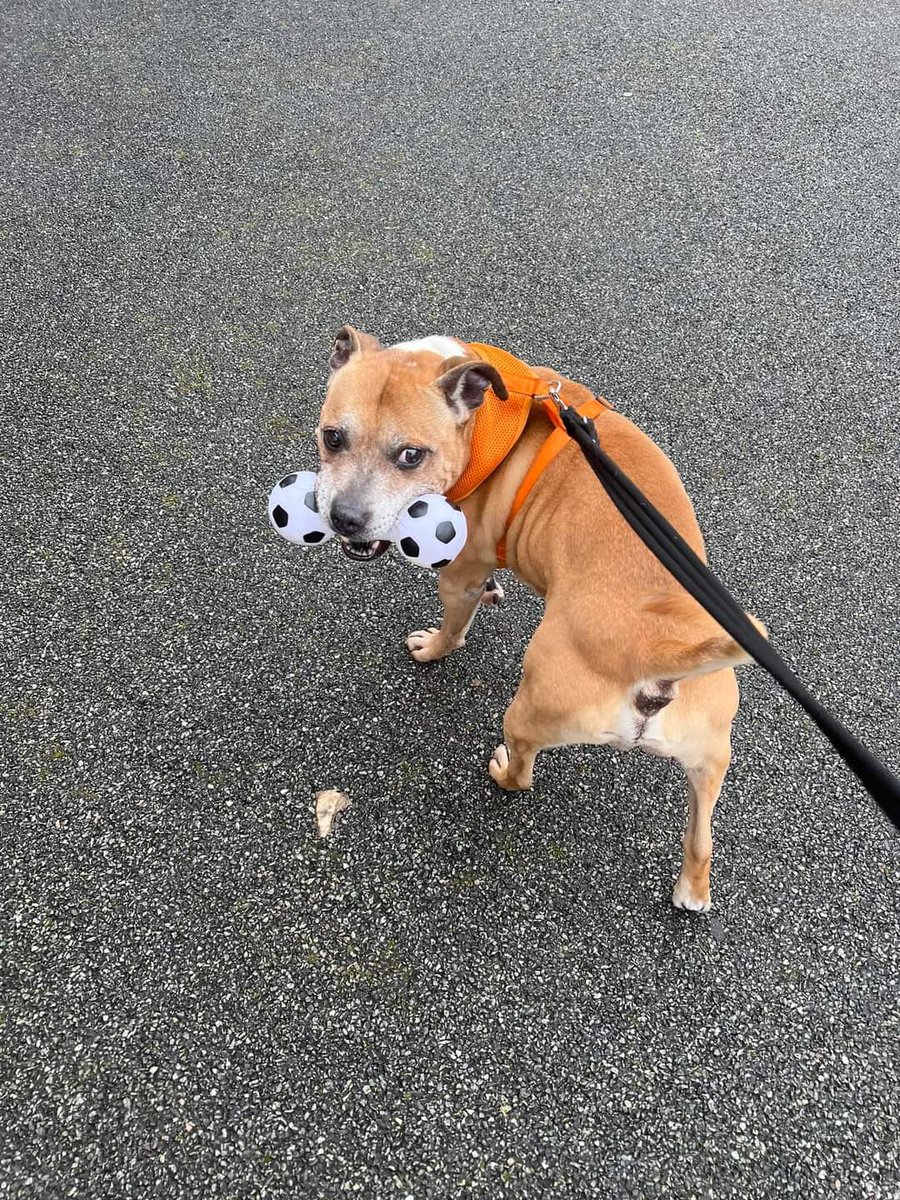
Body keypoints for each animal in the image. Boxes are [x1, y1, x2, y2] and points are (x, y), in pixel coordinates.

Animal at [316, 326, 763, 907]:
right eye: (333, 438)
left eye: (411, 456)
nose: (344, 519)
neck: (480, 419)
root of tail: (658, 659)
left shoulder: (458, 572)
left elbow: (453, 629)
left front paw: (434, 647)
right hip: (711, 759)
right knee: (702, 837)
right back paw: (692, 890)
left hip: (528, 712)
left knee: (523, 772)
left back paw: (502, 770)